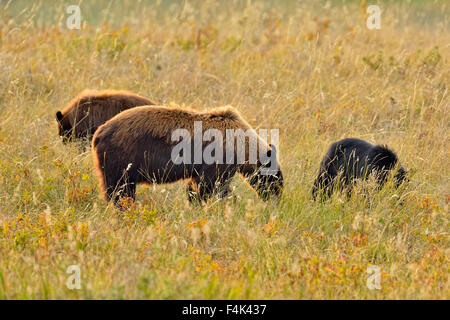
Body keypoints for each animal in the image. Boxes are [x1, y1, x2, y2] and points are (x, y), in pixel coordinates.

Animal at [91, 105, 284, 205]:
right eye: (276, 179)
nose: (277, 197)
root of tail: (99, 133)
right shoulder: (217, 158)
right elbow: (210, 186)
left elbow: (195, 186)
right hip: (123, 157)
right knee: (120, 189)